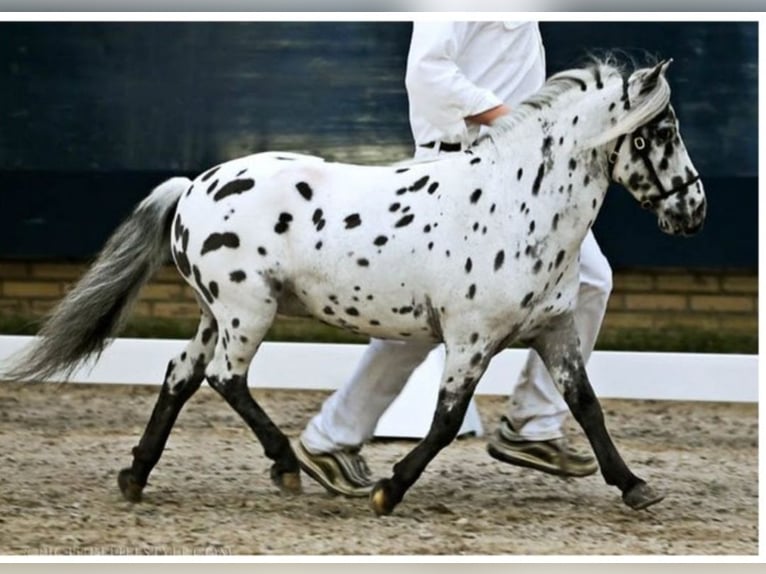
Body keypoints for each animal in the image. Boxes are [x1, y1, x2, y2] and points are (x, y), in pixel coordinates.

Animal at [3, 58, 706, 516]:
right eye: (662, 132)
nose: (694, 210)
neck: (517, 205)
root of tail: (195, 187)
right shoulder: (471, 339)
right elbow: (446, 422)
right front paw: (387, 491)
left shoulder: (553, 332)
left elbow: (586, 406)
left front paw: (636, 486)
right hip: (247, 309)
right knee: (225, 378)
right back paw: (288, 467)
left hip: (216, 313)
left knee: (182, 374)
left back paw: (136, 475)